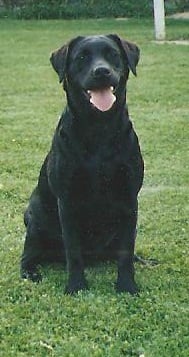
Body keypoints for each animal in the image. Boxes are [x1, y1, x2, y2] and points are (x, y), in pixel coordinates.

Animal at [20, 34, 143, 294]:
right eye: (82, 57)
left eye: (113, 54)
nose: (102, 71)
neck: (99, 127)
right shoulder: (67, 201)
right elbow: (73, 250)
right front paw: (76, 286)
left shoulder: (129, 199)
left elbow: (126, 251)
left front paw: (127, 286)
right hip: (35, 220)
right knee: (28, 255)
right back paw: (30, 272)